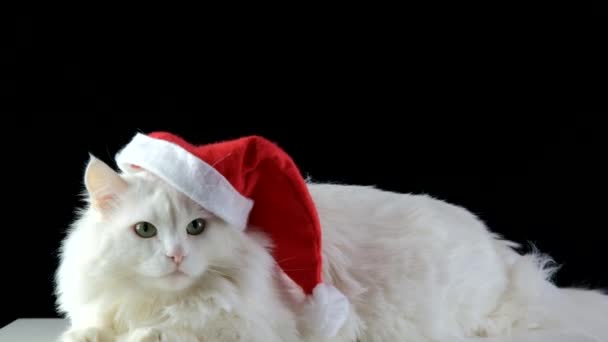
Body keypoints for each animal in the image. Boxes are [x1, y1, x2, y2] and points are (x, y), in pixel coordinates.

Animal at [53, 156, 608, 340]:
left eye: (195, 228)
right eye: (145, 232)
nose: (175, 257)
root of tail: (504, 255)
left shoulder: (242, 325)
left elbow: (169, 330)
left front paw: (140, 333)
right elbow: (95, 326)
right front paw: (85, 335)